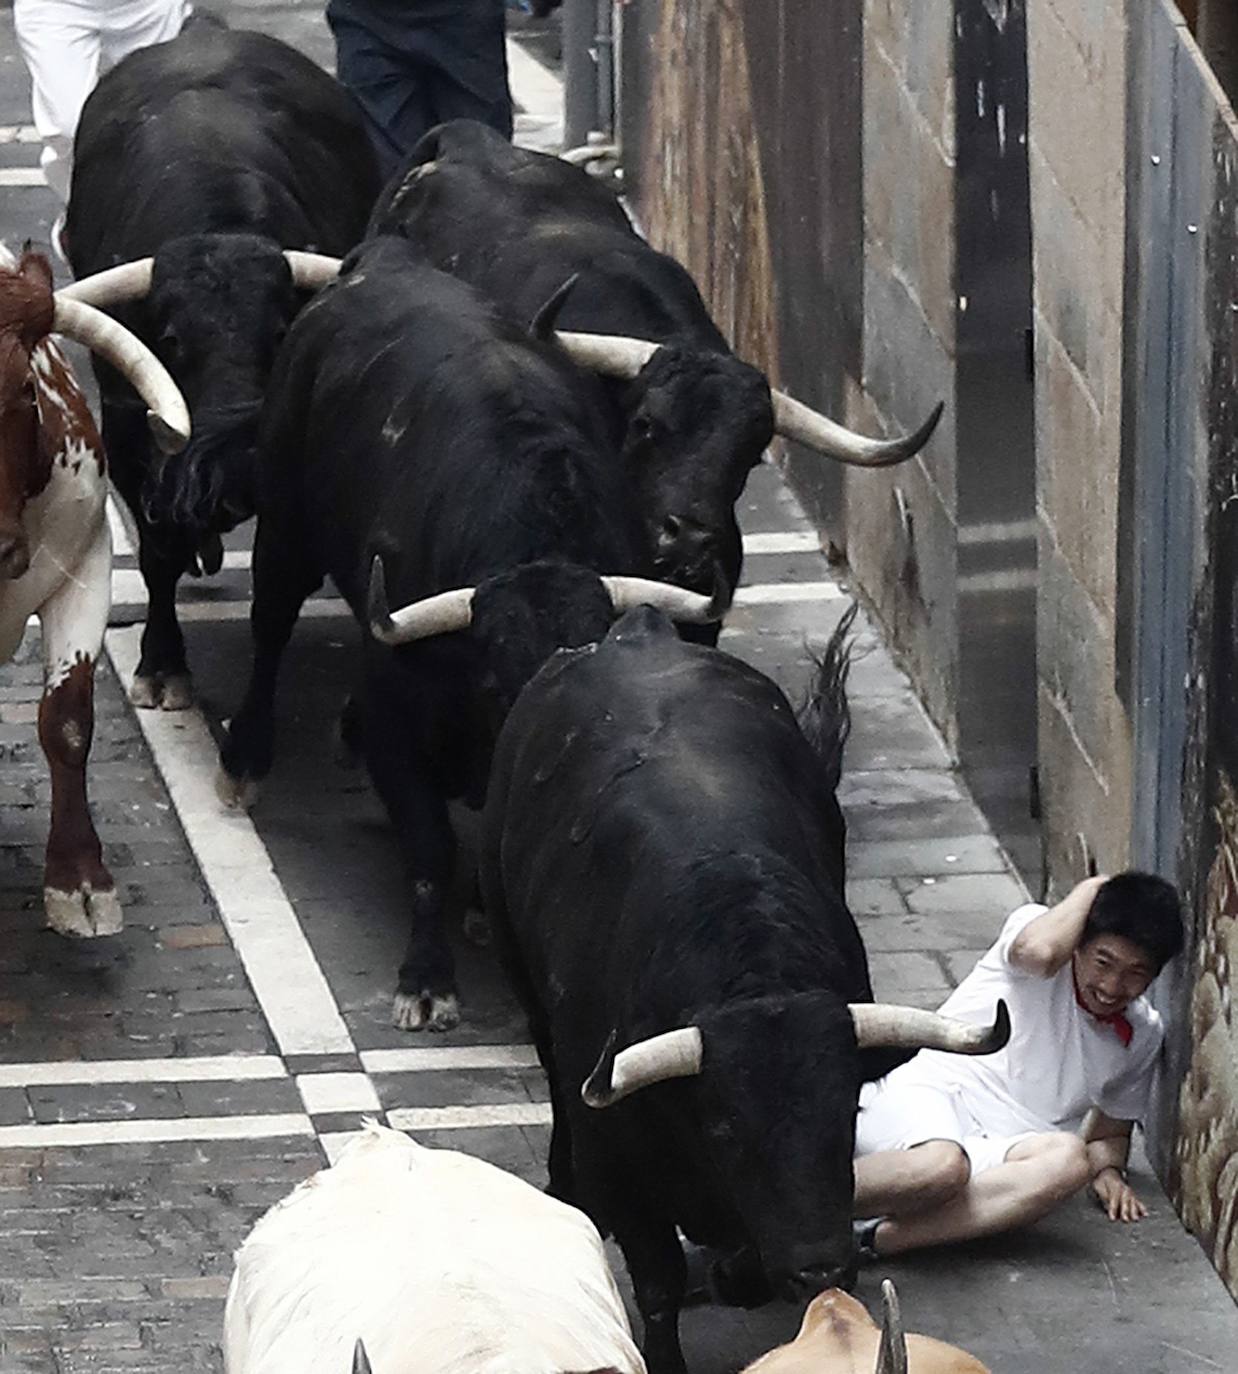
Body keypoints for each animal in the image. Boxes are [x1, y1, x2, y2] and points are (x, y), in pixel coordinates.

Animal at [62, 18, 379, 708]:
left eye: (283, 329)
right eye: (172, 337)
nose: (234, 466)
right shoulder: (127, 429)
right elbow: (156, 554)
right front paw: (162, 664)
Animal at [478, 607, 1011, 1374]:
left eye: (847, 1110)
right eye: (727, 1126)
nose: (823, 1267)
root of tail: (638, 630)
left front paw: (737, 1273)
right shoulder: (621, 1167)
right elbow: (659, 1282)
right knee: (549, 1065)